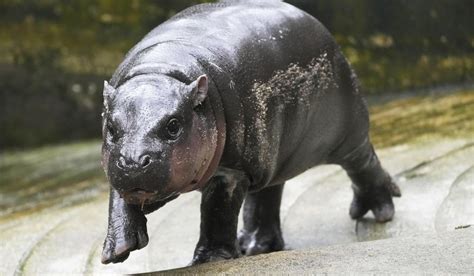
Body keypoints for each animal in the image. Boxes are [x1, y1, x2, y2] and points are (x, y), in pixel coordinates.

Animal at [100, 0, 400, 266]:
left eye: (173, 125)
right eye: (111, 128)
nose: (133, 162)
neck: (160, 71)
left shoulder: (233, 170)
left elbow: (218, 212)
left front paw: (209, 260)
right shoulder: (115, 164)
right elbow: (118, 199)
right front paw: (117, 250)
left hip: (346, 133)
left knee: (363, 162)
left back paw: (380, 211)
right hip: (273, 154)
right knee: (267, 194)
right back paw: (255, 246)